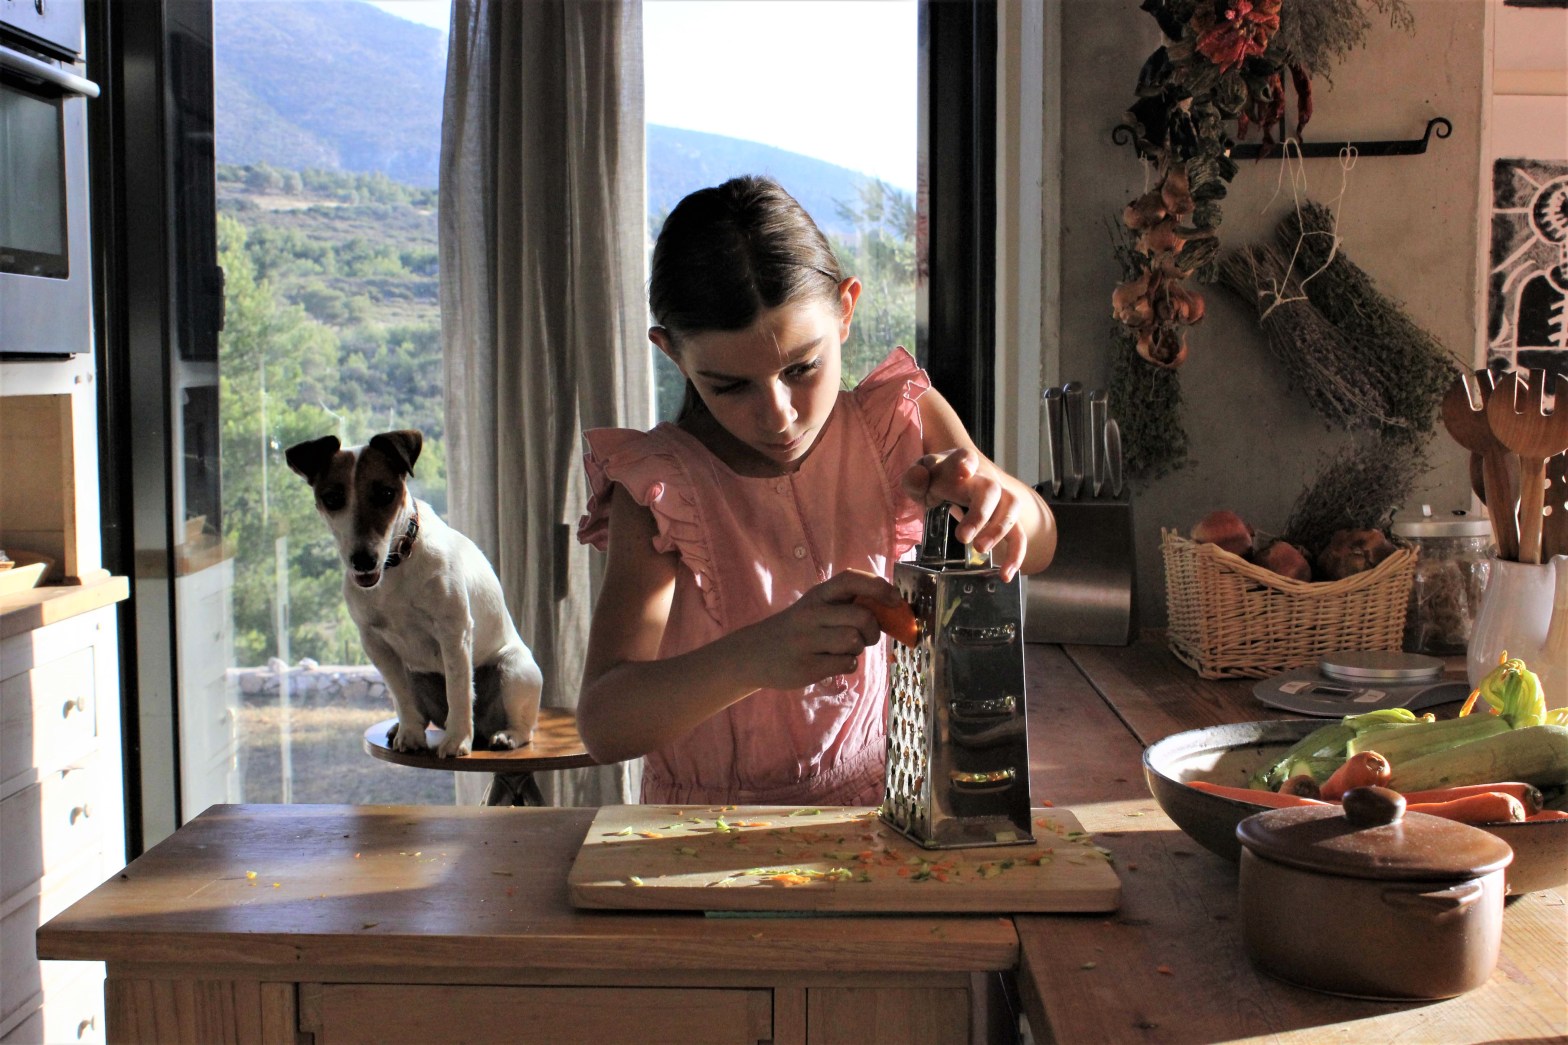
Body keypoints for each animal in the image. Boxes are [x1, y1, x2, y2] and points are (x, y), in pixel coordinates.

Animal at [284, 430, 542, 758]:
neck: (395, 566)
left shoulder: (454, 632)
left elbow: (459, 691)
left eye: (386, 493)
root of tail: (485, 728)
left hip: (515, 672)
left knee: (523, 726)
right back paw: (403, 727)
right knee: (417, 708)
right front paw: (409, 734)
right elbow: (401, 697)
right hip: (415, 673)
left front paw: (457, 740)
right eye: (332, 498)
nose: (363, 560)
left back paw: (506, 735)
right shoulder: (375, 642)